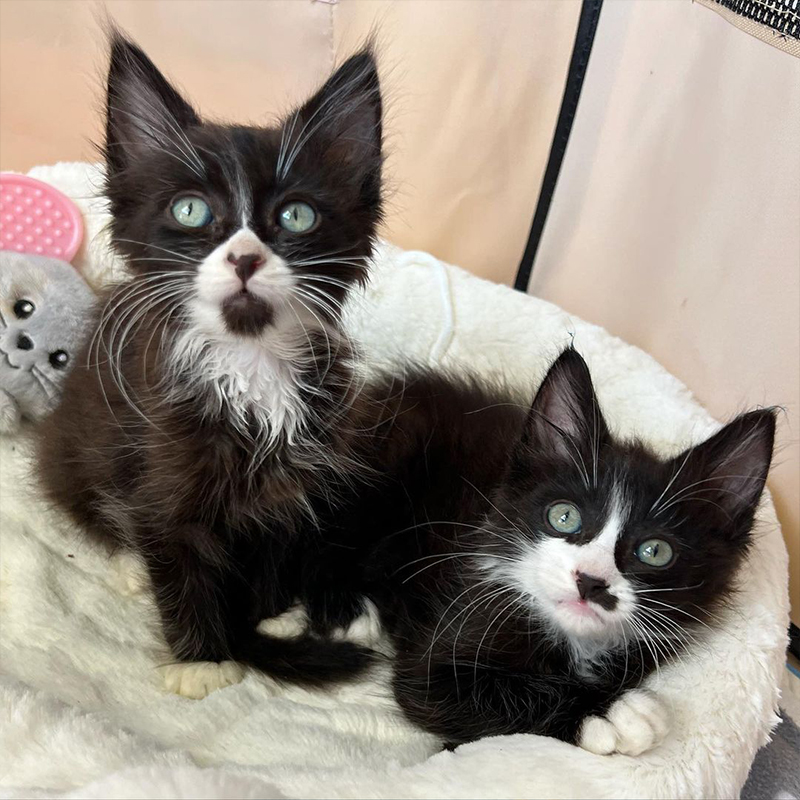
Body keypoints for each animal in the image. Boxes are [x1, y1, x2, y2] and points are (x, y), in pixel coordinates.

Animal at [37, 31, 384, 692]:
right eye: (191, 210)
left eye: (296, 215)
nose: (245, 258)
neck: (251, 367)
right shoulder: (160, 461)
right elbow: (172, 545)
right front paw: (202, 661)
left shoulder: (297, 470)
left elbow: (278, 533)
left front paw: (273, 611)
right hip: (76, 449)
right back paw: (128, 562)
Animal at [300, 348, 776, 752]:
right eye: (564, 517)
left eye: (654, 551)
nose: (591, 581)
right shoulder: (447, 640)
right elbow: (454, 692)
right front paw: (607, 712)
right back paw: (345, 609)